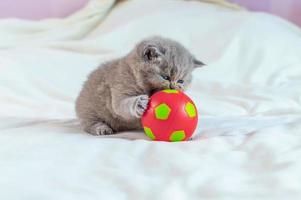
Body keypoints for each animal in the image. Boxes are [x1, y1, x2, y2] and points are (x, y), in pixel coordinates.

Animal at [75, 36, 204, 135]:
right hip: (89, 109)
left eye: (181, 81)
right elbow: (122, 105)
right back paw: (102, 128)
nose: (173, 87)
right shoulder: (118, 89)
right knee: (89, 124)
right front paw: (140, 103)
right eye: (165, 77)